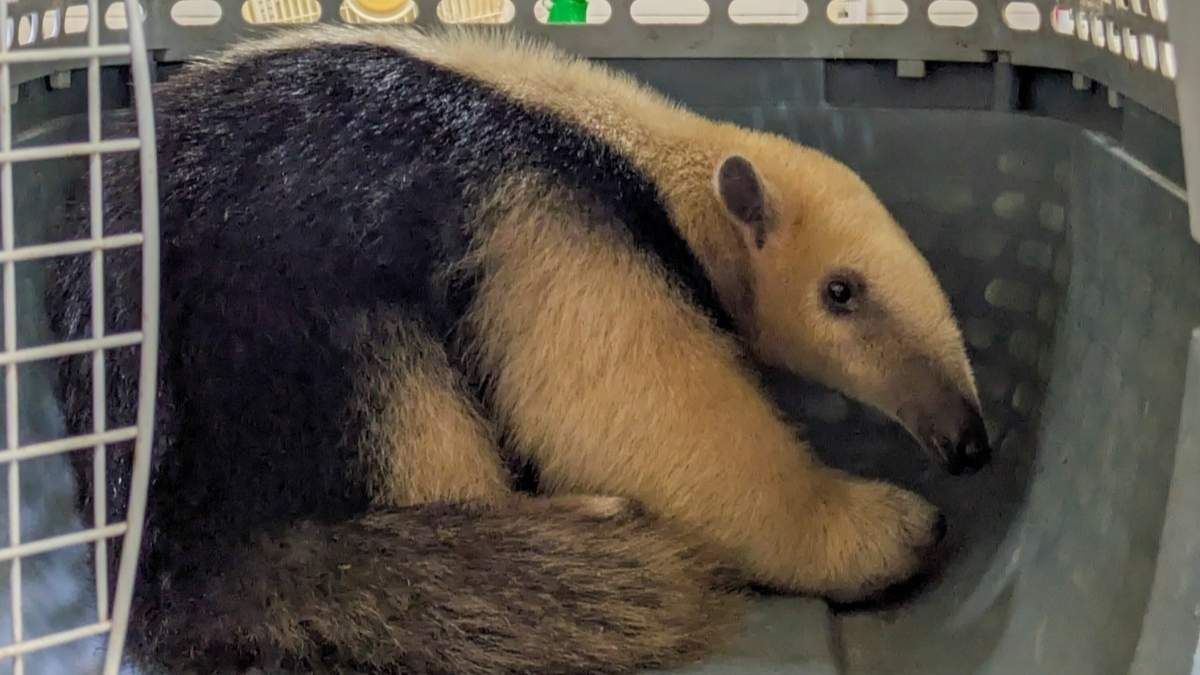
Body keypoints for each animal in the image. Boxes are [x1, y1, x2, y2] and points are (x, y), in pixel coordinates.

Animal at [47, 26, 990, 674]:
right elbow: (642, 416)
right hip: (288, 342)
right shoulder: (540, 220)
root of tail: (163, 565)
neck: (642, 158)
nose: (968, 444)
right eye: (841, 291)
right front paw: (893, 527)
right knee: (408, 414)